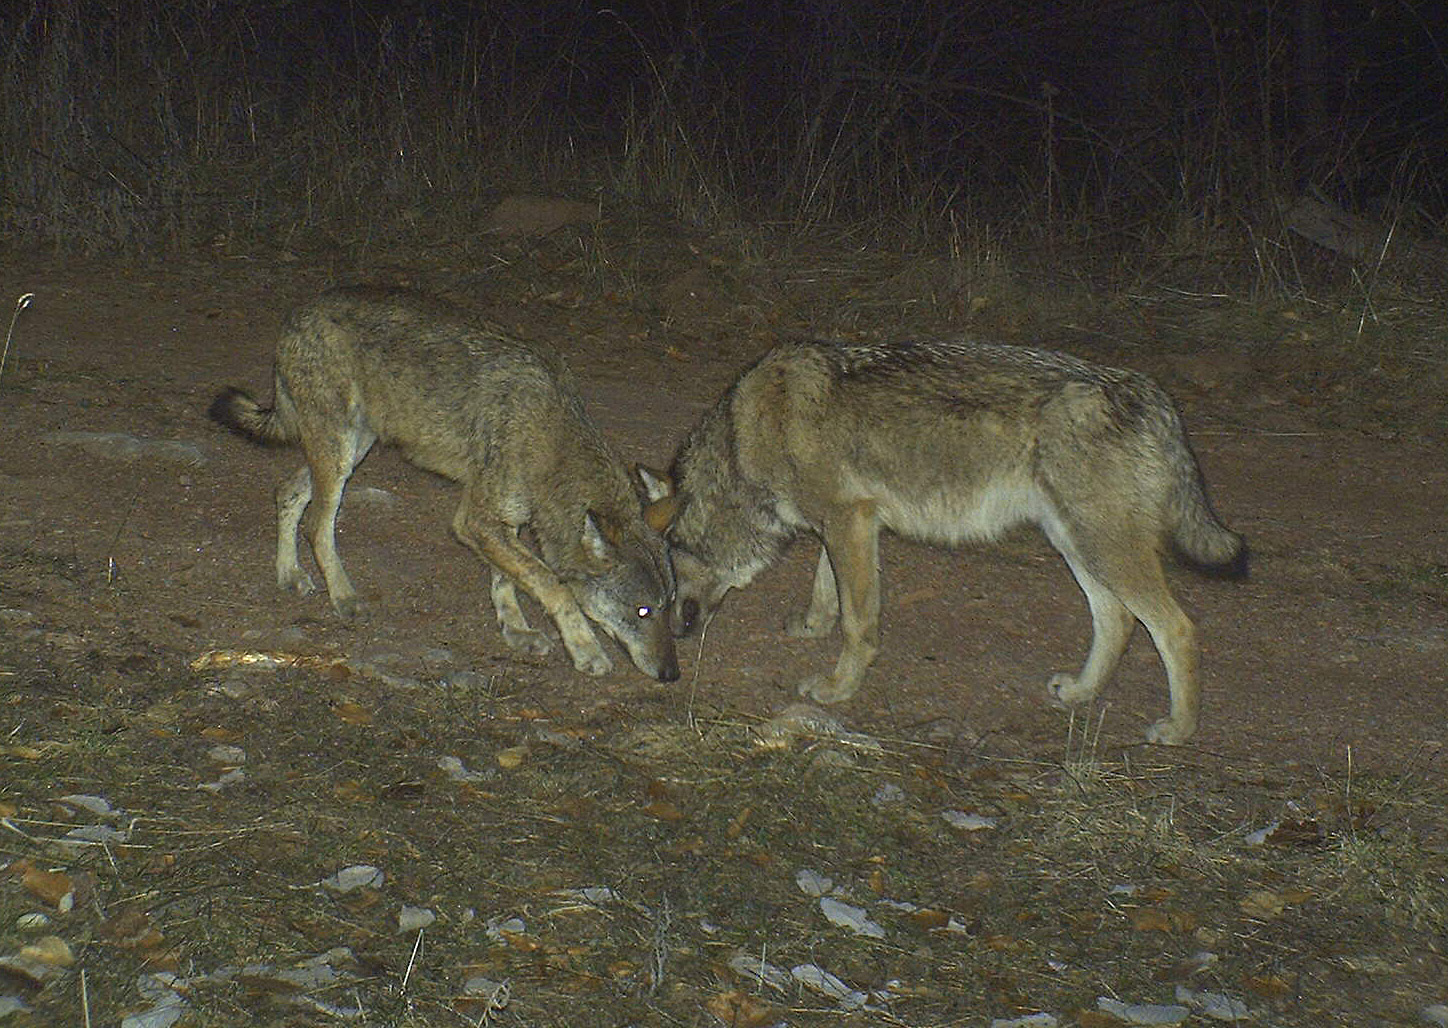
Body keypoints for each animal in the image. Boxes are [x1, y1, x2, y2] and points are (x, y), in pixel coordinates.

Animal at [211, 285, 680, 683]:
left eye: (670, 606)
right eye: (642, 611)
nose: (672, 674)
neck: (554, 442)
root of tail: (298, 311)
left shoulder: (496, 521)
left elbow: (506, 578)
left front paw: (516, 629)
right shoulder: (475, 520)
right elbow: (552, 584)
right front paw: (586, 650)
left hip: (352, 449)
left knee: (286, 493)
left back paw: (289, 575)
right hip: (339, 452)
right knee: (317, 526)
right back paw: (343, 597)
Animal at [651, 341, 1251, 747]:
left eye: (668, 578)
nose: (675, 635)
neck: (745, 436)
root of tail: (1153, 396)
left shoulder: (847, 520)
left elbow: (858, 621)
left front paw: (839, 688)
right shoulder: (851, 522)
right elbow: (828, 591)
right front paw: (813, 626)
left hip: (1103, 549)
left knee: (1176, 628)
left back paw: (1179, 728)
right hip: (1076, 545)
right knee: (1118, 620)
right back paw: (1082, 692)